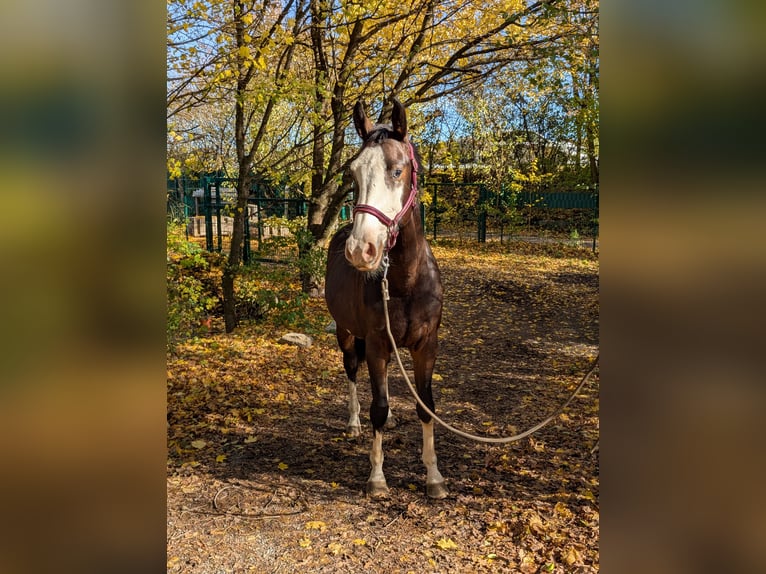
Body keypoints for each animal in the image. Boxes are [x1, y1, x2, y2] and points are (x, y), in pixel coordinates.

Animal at [324, 98, 448, 499]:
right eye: (353, 173)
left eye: (397, 170)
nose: (360, 249)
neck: (406, 280)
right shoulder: (377, 342)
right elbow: (376, 405)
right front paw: (377, 476)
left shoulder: (427, 345)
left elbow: (426, 405)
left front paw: (434, 477)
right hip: (347, 334)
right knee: (352, 370)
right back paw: (353, 423)